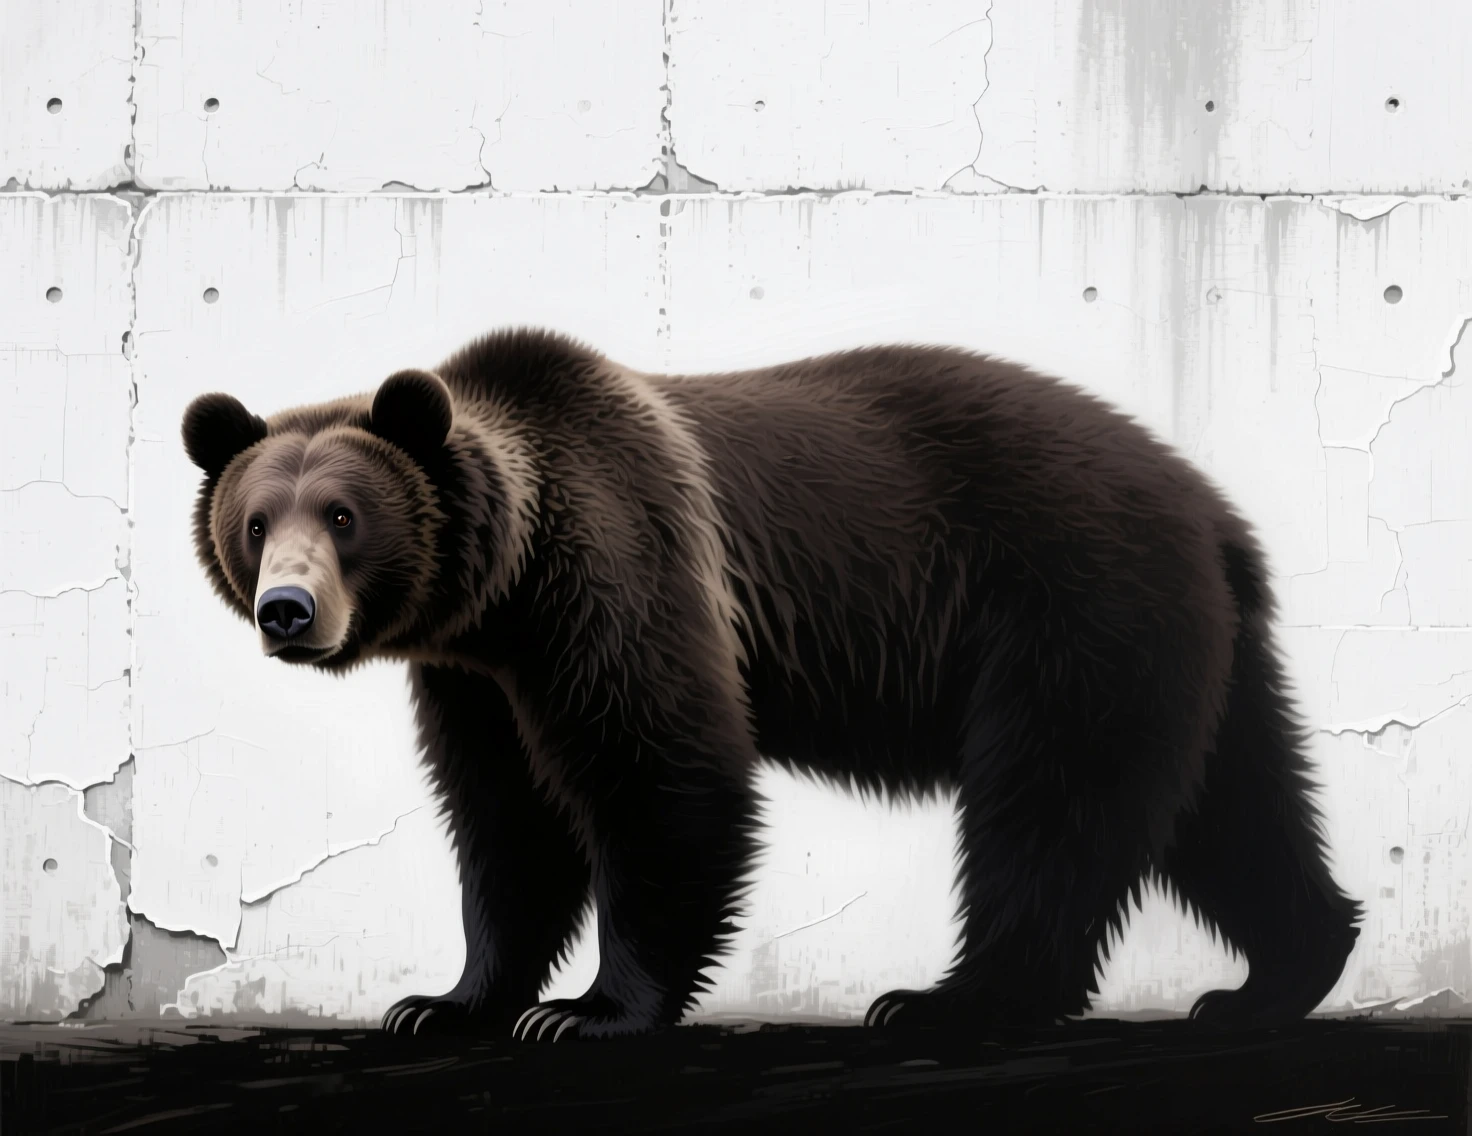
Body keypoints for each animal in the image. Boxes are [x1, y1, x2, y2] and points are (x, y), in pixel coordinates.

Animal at [181, 327, 1362, 1042]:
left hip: (1071, 598)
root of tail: (1212, 508)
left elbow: (660, 772)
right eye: (256, 521)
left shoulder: (619, 571)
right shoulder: (477, 674)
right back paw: (1272, 977)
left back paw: (950, 1000)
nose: (288, 610)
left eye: (344, 514)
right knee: (1232, 803)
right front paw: (445, 1001)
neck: (505, 584)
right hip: (1187, 645)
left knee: (1052, 802)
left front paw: (590, 1011)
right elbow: (506, 819)